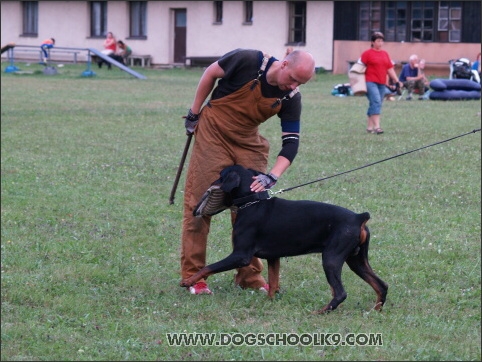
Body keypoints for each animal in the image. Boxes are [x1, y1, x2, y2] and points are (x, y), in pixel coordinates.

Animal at [181, 165, 388, 312]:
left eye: (220, 174)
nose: (209, 183)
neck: (252, 202)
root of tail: (359, 217)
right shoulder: (273, 257)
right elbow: (273, 282)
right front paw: (269, 301)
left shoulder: (240, 255)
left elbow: (208, 267)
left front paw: (188, 281)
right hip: (356, 260)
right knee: (381, 285)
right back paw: (375, 310)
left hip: (331, 258)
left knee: (340, 293)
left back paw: (321, 312)